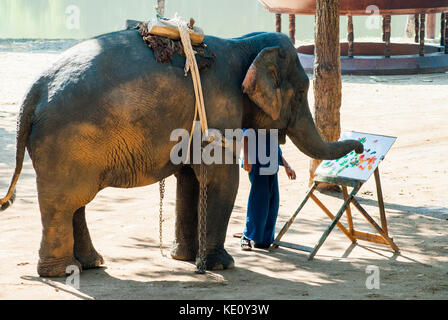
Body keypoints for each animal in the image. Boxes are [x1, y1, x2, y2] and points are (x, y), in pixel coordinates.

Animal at [0, 28, 364, 278]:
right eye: (301, 92)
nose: (361, 146)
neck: (241, 43)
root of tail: (34, 90)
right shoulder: (218, 107)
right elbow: (220, 179)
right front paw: (222, 265)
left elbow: (190, 179)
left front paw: (187, 260)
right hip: (66, 143)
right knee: (65, 203)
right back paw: (61, 272)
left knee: (75, 203)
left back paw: (89, 264)